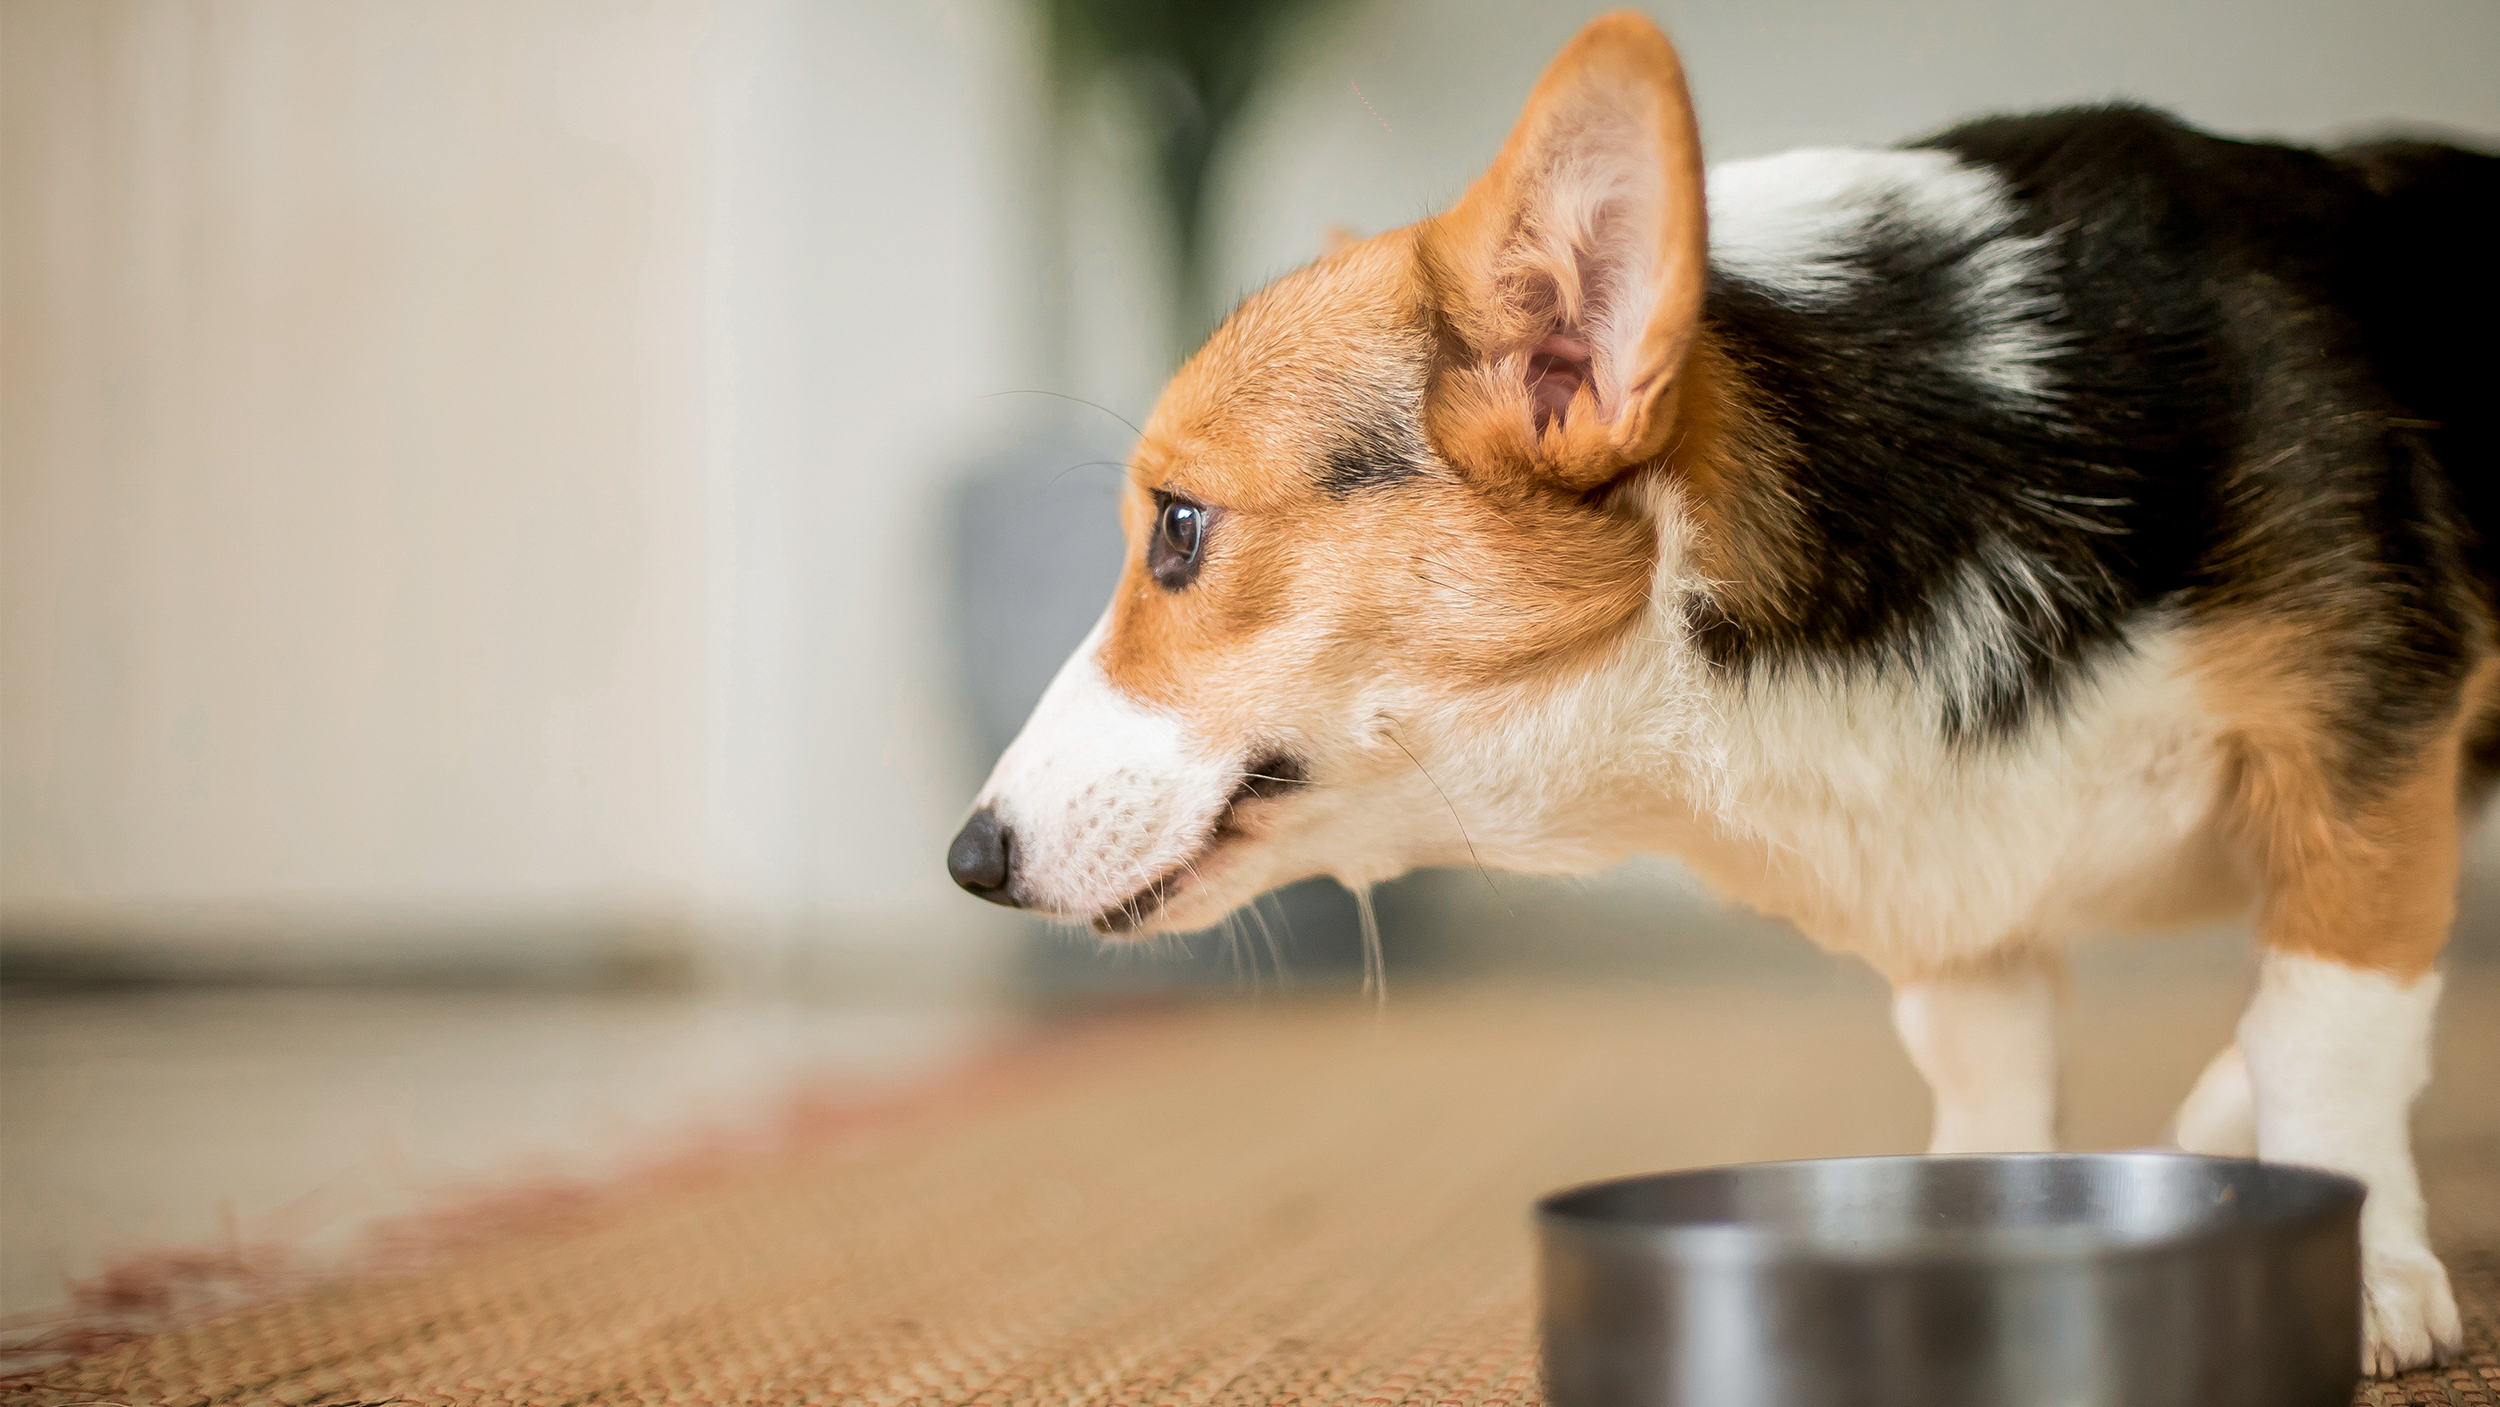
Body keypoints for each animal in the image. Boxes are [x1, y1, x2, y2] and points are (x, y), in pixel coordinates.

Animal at [945, 11, 2490, 1379]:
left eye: (1179, 529)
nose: (969, 860)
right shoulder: (1956, 888)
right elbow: (1994, 1075)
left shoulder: (2364, 742)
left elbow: (2323, 1024)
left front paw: (2359, 1264)